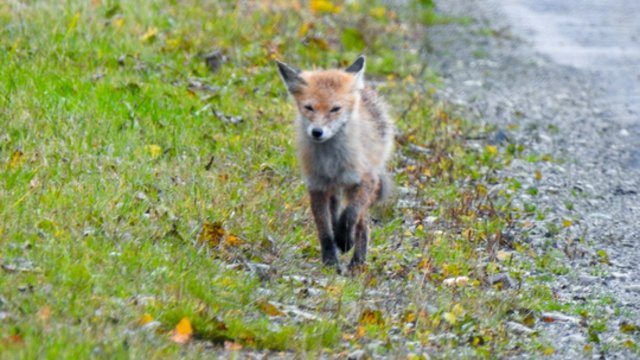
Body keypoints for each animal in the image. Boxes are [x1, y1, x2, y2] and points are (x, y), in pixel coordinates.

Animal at [276, 54, 392, 272]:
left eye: (335, 109)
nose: (317, 132)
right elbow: (325, 230)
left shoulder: (365, 180)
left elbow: (350, 215)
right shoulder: (317, 186)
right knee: (337, 212)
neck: (331, 162)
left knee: (362, 225)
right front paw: (330, 261)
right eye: (309, 107)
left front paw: (345, 241)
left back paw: (357, 262)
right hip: (334, 190)